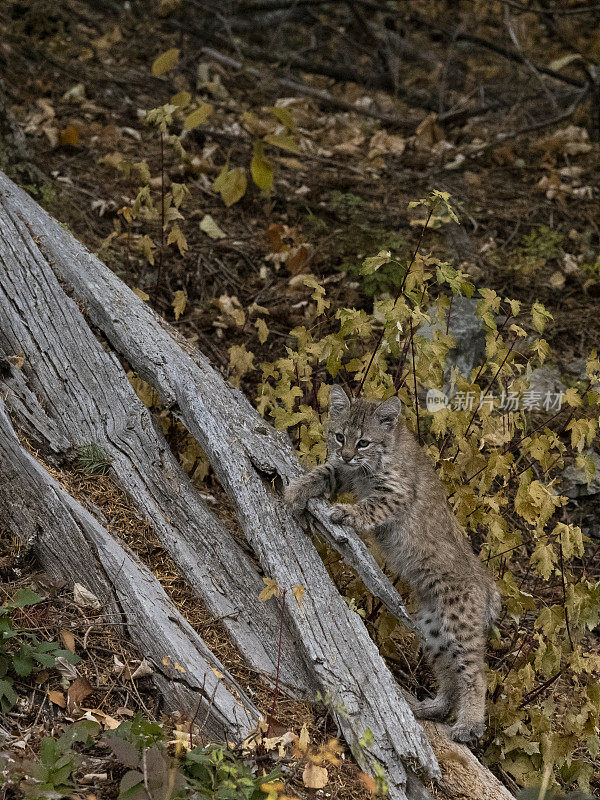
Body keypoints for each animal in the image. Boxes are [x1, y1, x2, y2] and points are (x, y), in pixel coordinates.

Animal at [284, 388, 500, 744]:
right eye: (340, 436)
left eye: (363, 443)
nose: (346, 455)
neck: (370, 465)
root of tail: (487, 583)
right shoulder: (344, 474)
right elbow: (325, 471)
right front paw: (299, 487)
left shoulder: (395, 493)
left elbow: (370, 506)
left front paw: (347, 513)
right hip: (432, 626)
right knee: (450, 675)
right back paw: (430, 709)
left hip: (458, 620)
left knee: (476, 673)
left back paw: (468, 724)